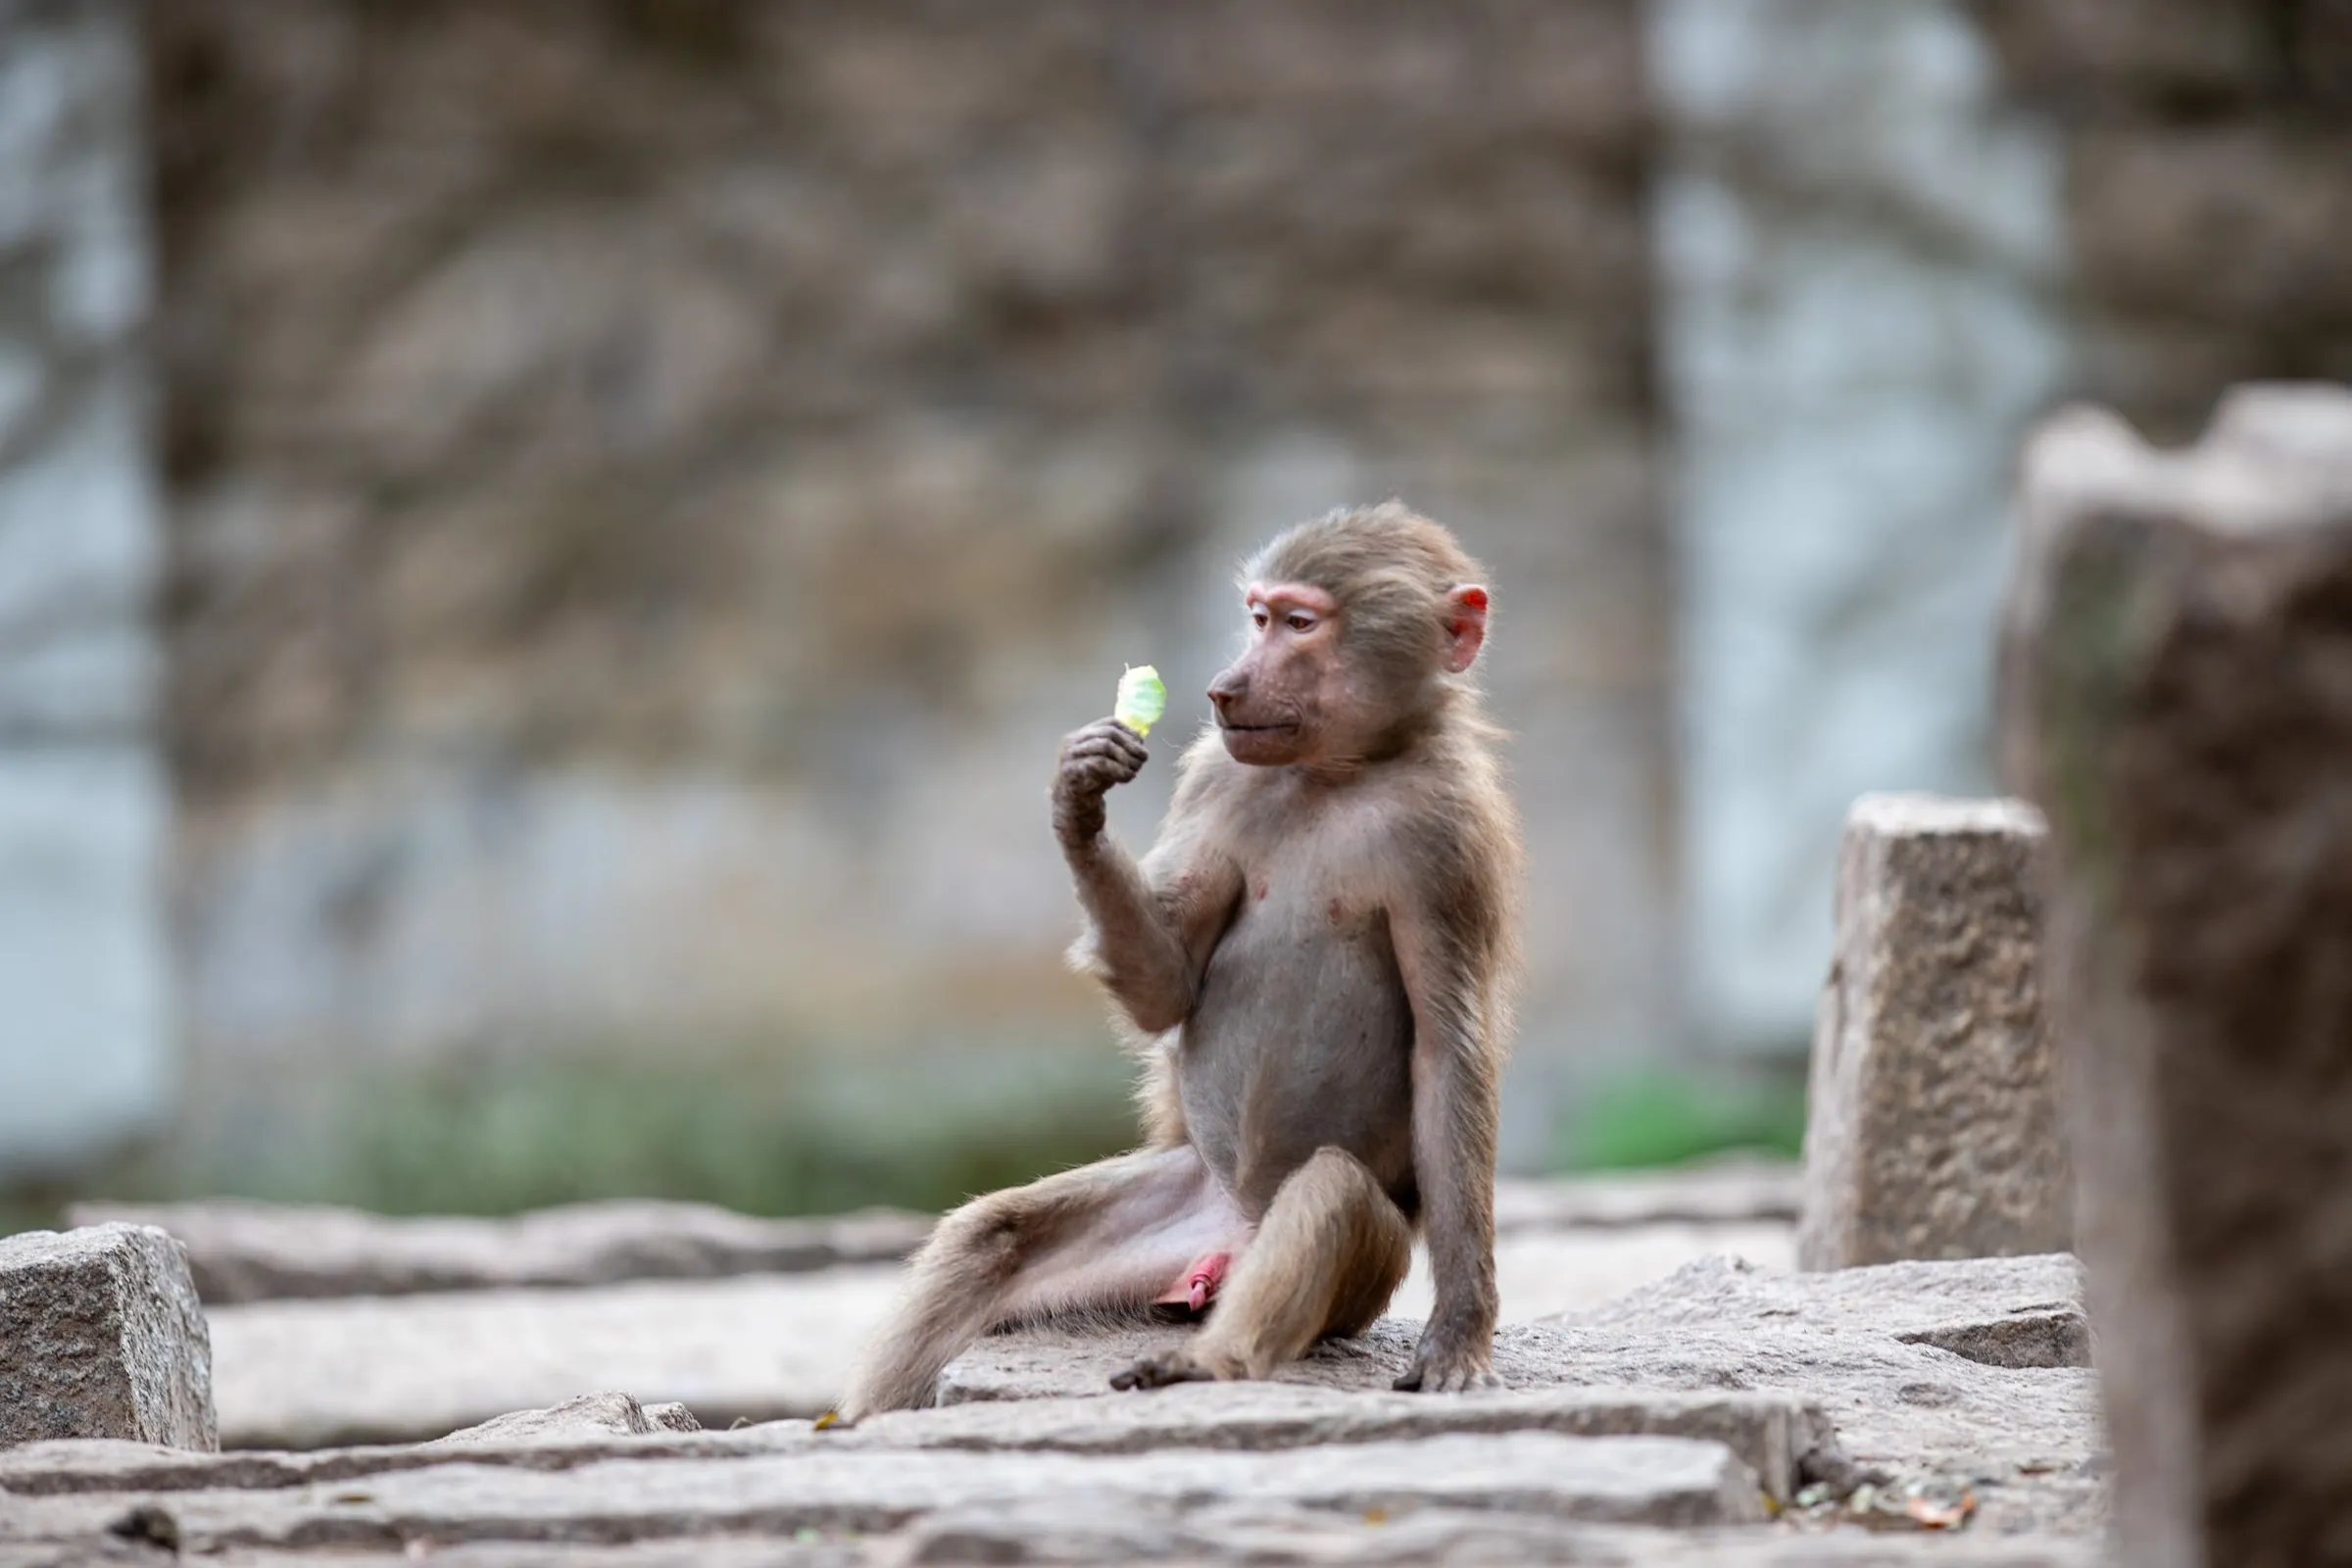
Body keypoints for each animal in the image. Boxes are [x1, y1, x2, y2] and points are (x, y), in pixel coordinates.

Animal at [838, 502, 1523, 1417]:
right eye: (1259, 617)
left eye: (1300, 625)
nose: (1224, 688)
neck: (1342, 772)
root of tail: (1230, 1240)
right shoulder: (1215, 774)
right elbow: (1168, 987)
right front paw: (1079, 798)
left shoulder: (1449, 837)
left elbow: (1448, 1054)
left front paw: (1458, 1334)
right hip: (1179, 1204)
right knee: (992, 1238)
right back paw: (858, 1420)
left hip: (1361, 1276)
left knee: (1333, 1194)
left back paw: (1209, 1360)